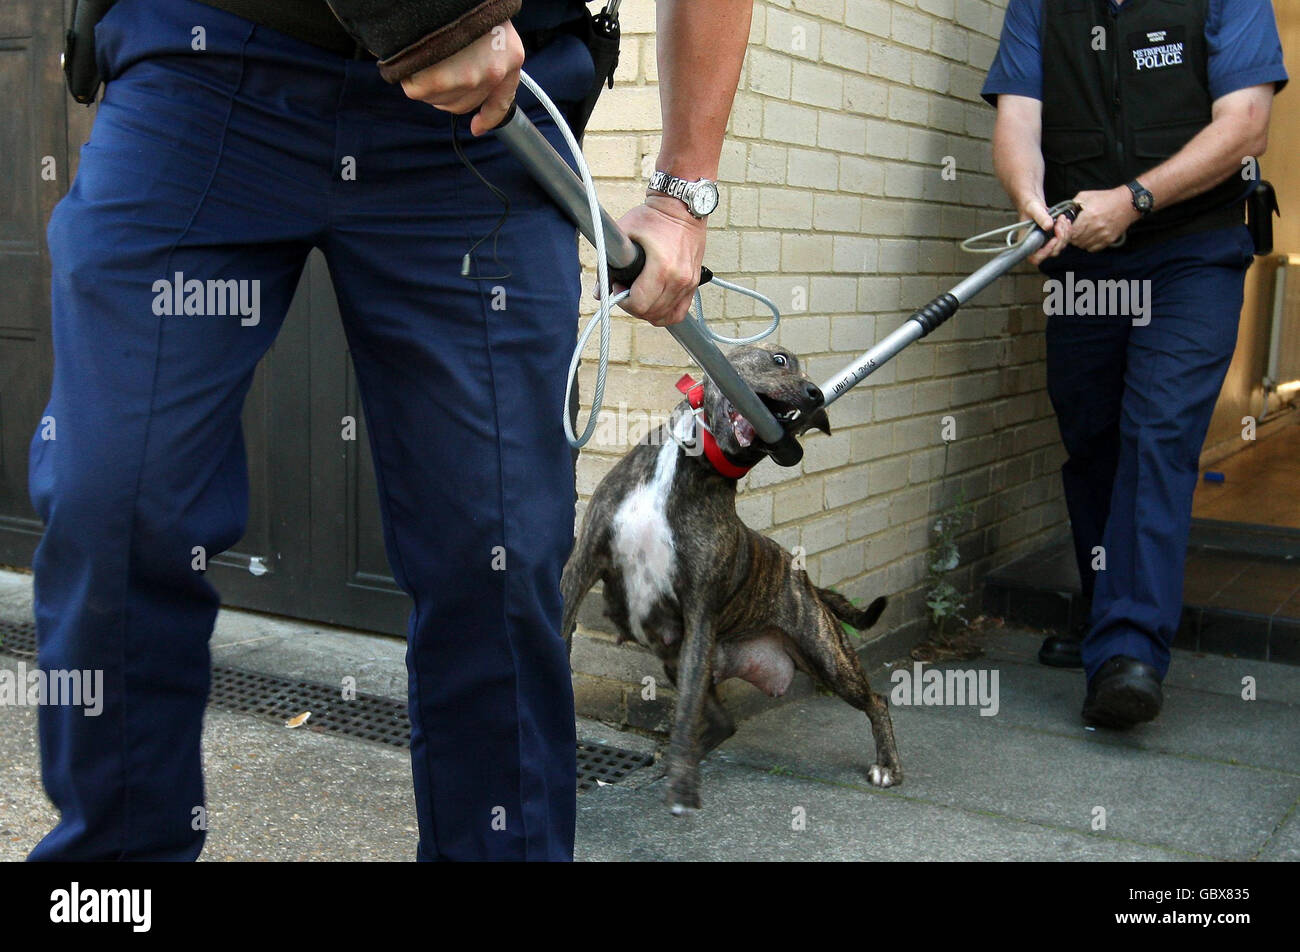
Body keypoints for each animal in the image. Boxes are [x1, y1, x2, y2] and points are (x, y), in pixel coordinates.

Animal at [559, 343, 904, 811]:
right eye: (780, 360)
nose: (815, 394)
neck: (691, 462)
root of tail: (805, 580)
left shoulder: (700, 612)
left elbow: (686, 711)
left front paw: (684, 785)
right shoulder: (583, 566)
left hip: (827, 658)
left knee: (877, 700)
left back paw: (887, 765)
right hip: (685, 658)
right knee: (725, 722)